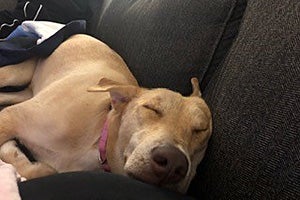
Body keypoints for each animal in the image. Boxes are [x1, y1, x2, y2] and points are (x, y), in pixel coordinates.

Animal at [0, 34, 212, 192]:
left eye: (201, 130)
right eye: (151, 108)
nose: (173, 163)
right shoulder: (12, 117)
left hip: (23, 93)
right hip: (17, 74)